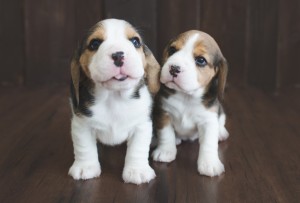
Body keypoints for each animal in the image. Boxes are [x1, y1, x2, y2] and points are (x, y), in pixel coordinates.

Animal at [69, 18, 161, 184]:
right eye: (95, 43)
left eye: (135, 41)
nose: (118, 55)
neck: (113, 97)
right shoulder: (81, 124)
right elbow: (84, 147)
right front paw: (86, 167)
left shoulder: (141, 125)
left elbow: (138, 148)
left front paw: (137, 170)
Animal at [154, 29, 229, 176]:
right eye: (172, 50)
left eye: (200, 60)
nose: (174, 68)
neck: (186, 96)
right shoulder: (164, 113)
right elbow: (166, 134)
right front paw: (165, 151)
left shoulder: (208, 121)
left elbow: (209, 143)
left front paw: (209, 163)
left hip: (220, 110)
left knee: (221, 121)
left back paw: (221, 133)